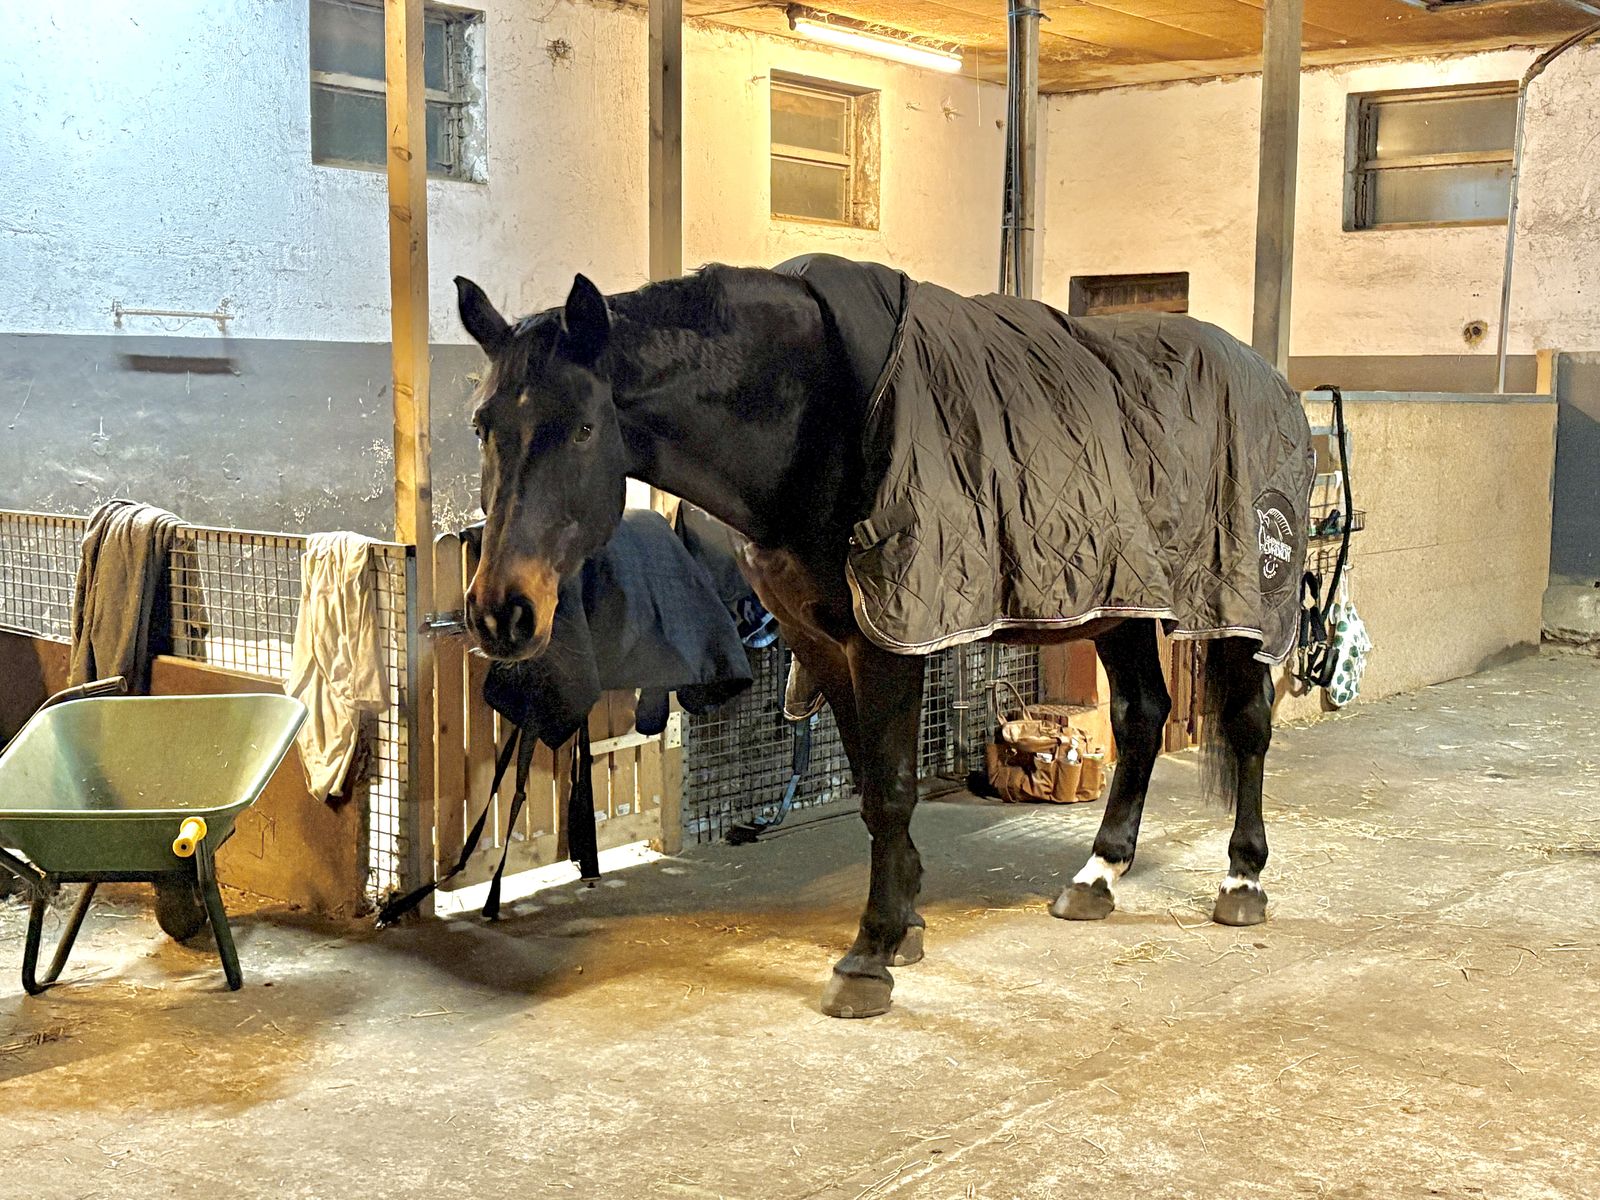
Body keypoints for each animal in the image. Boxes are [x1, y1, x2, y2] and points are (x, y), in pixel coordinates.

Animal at [452, 258, 1307, 1019]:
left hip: (1239, 605)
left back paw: (1242, 882)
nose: (501, 614)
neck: (811, 419)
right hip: (1121, 601)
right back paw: (1097, 874)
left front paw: (870, 956)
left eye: (583, 428)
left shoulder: (892, 636)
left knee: (1248, 725)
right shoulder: (820, 641)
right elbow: (868, 785)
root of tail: (1273, 380)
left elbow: (893, 787)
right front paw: (906, 923)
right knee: (1140, 716)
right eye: (483, 426)